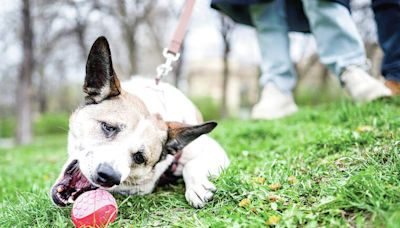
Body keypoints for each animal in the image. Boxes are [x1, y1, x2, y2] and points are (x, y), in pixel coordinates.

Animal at [50, 36, 228, 208]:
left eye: (139, 158)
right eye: (108, 127)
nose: (108, 176)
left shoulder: (216, 152)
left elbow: (192, 164)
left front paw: (197, 187)